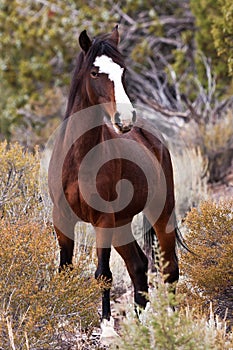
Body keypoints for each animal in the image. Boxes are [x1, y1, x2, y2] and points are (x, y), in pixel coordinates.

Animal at [47, 26, 186, 322]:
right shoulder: (62, 219)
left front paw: (107, 326)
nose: (125, 118)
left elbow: (103, 275)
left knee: (169, 270)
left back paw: (171, 323)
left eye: (122, 71)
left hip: (161, 213)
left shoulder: (103, 220)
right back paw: (141, 324)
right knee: (138, 266)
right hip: (122, 224)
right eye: (94, 72)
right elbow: (65, 271)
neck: (79, 158)